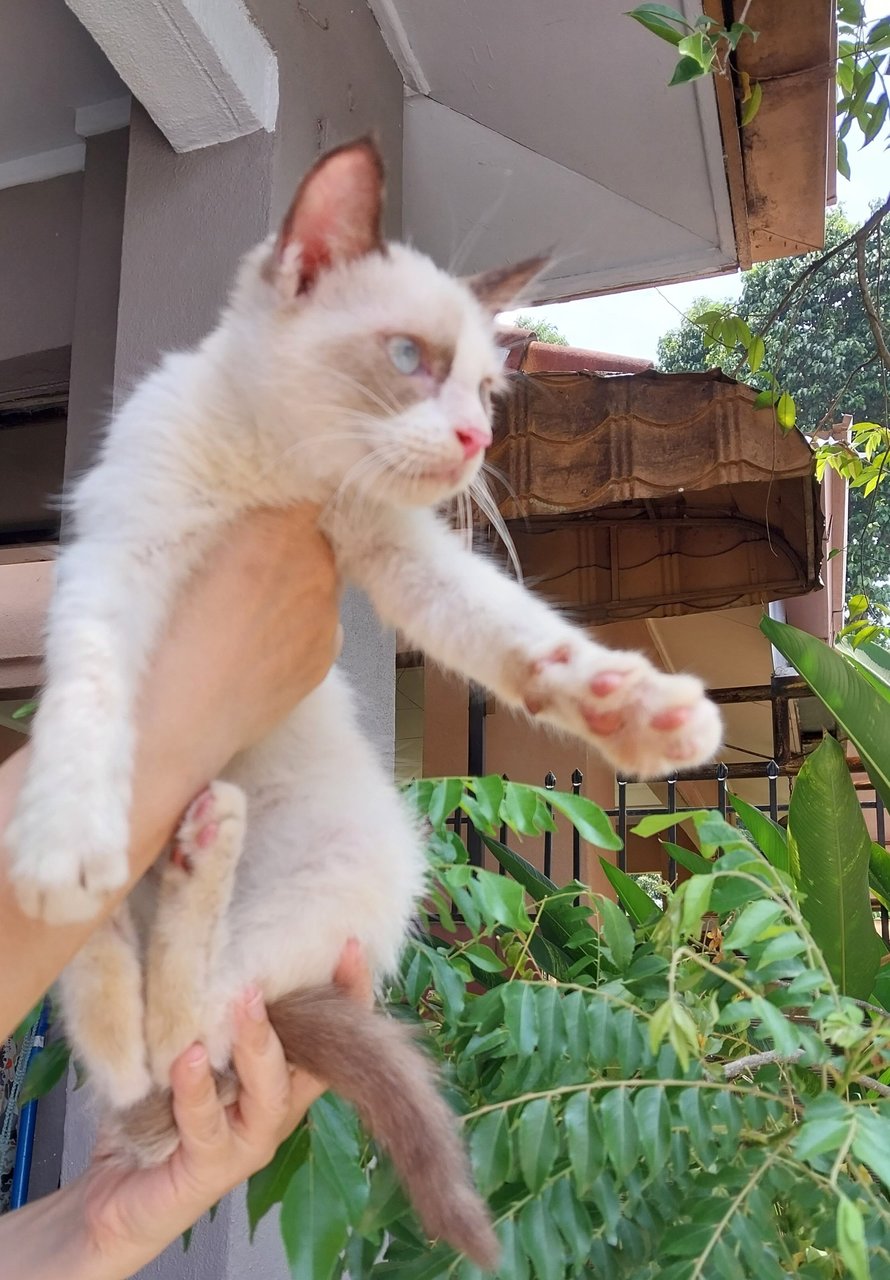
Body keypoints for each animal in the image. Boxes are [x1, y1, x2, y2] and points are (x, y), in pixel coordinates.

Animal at [3, 135, 722, 1264]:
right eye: (409, 359)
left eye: (485, 390)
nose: (474, 441)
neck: (275, 470)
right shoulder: (118, 555)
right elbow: (91, 680)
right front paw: (68, 831)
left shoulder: (388, 548)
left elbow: (506, 627)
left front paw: (632, 706)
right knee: (138, 1048)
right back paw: (140, 888)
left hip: (346, 870)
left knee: (178, 1046)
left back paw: (201, 848)